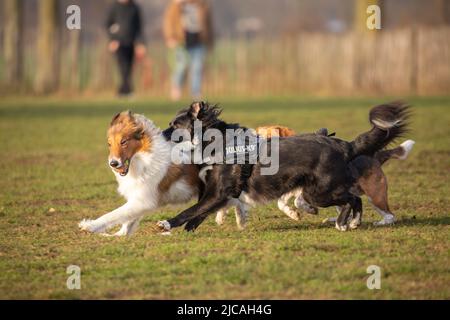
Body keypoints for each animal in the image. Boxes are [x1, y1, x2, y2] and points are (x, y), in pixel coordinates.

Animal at [159, 101, 412, 231]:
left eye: (175, 125)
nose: (159, 134)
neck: (217, 142)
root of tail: (344, 145)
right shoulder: (221, 194)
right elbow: (200, 212)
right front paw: (189, 229)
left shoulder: (219, 192)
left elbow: (192, 209)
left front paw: (167, 224)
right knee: (354, 200)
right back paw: (352, 222)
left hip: (318, 192)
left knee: (353, 198)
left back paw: (345, 222)